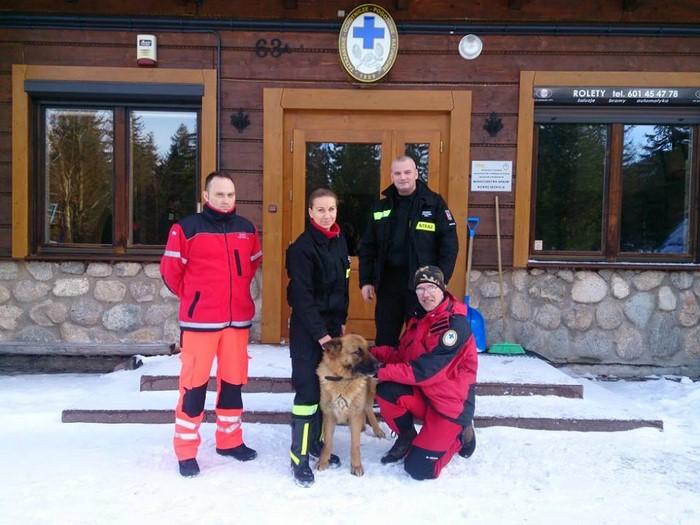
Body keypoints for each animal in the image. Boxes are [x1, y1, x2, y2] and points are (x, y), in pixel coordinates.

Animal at [318, 336, 388, 474]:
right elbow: (328, 443)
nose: (379, 365)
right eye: (357, 352)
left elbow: (355, 444)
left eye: (368, 349)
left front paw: (356, 466)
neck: (342, 379)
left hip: (369, 390)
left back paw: (377, 430)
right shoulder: (329, 415)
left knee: (368, 408)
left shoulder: (355, 414)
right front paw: (323, 462)